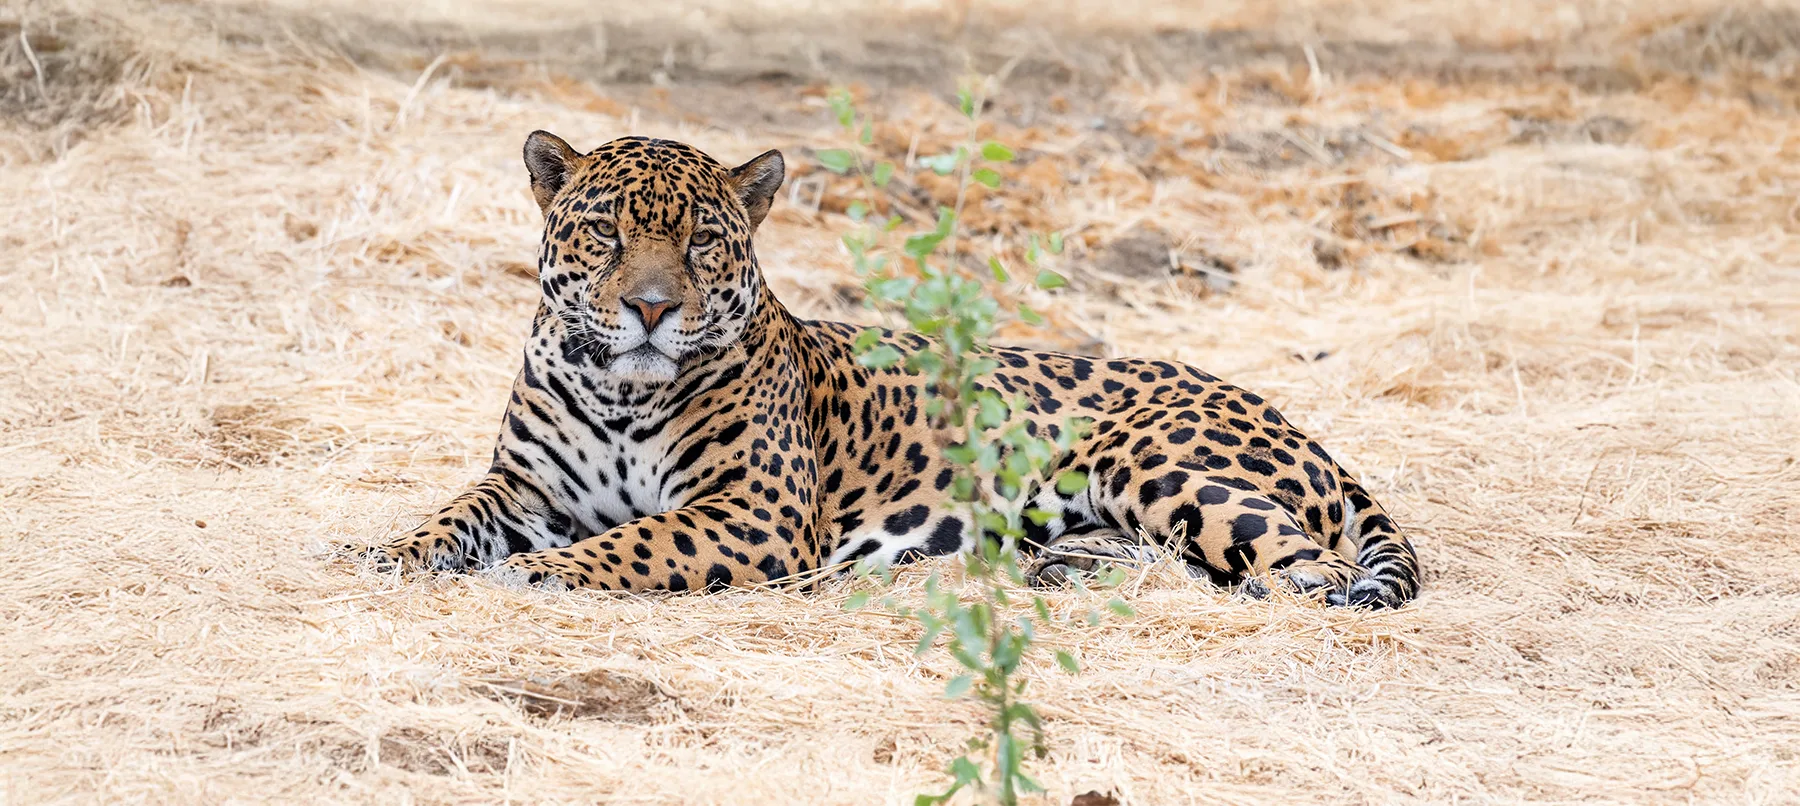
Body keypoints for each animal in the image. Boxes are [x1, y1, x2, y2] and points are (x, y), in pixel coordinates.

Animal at [359, 131, 1422, 608]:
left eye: (702, 241)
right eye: (606, 233)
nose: (650, 309)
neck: (620, 390)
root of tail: (1294, 420)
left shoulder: (755, 515)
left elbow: (631, 545)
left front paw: (535, 575)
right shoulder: (521, 486)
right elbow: (448, 520)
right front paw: (384, 553)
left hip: (1158, 462)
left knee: (1308, 565)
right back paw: (1064, 565)